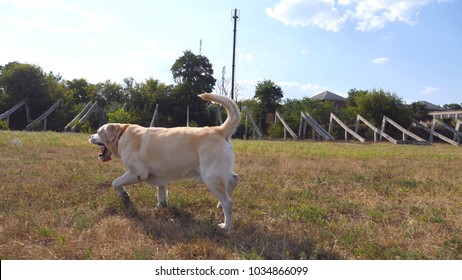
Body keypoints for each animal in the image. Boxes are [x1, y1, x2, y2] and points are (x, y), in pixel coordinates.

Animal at [90, 93, 242, 229]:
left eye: (98, 132)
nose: (90, 136)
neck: (122, 134)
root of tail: (218, 130)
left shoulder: (137, 173)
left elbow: (115, 182)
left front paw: (124, 195)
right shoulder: (160, 178)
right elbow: (161, 194)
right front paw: (160, 208)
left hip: (211, 176)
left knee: (228, 202)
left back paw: (226, 225)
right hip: (219, 172)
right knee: (234, 178)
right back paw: (219, 204)